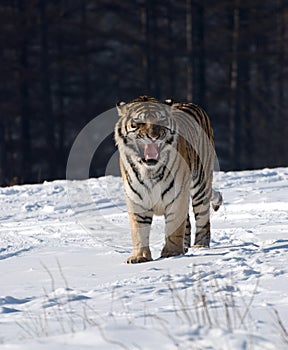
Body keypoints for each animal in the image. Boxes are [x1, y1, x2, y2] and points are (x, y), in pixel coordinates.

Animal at [115, 95, 223, 262]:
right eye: (138, 122)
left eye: (161, 121)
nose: (153, 136)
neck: (149, 170)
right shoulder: (137, 199)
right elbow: (139, 230)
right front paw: (139, 257)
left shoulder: (177, 196)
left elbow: (174, 227)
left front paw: (171, 253)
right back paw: (185, 246)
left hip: (200, 184)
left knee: (202, 218)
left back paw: (200, 245)